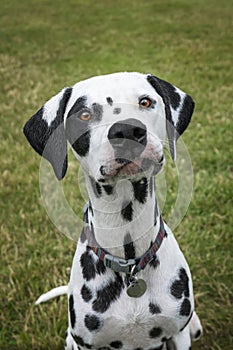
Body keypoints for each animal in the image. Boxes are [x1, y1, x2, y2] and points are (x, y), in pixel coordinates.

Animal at [23, 72, 202, 350]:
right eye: (84, 114)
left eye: (145, 102)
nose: (127, 130)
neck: (129, 262)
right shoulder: (86, 343)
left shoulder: (179, 334)